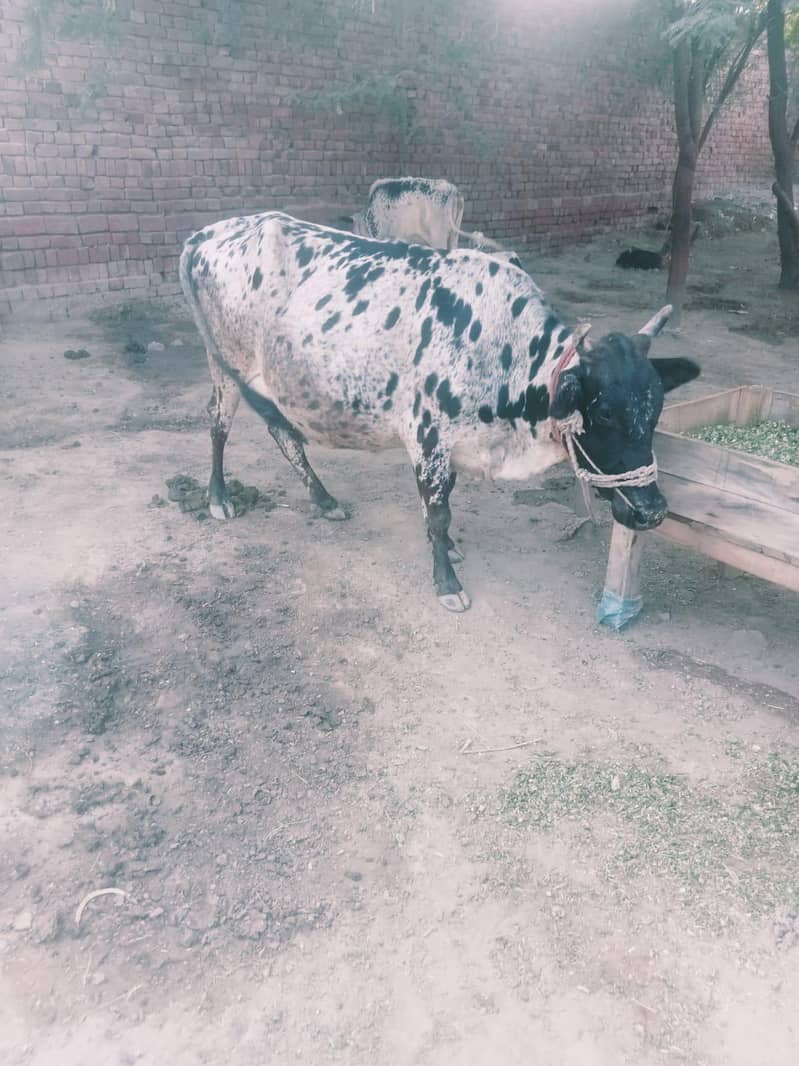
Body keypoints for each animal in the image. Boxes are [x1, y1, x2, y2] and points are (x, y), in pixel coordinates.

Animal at [179, 212, 699, 612]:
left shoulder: (451, 444)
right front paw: (446, 581)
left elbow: (443, 503)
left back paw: (325, 501)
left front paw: (448, 551)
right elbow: (438, 512)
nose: (652, 511)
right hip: (224, 364)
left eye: (657, 408)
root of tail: (206, 235)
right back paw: (218, 497)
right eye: (605, 413)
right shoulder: (427, 437)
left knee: (282, 433)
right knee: (219, 423)